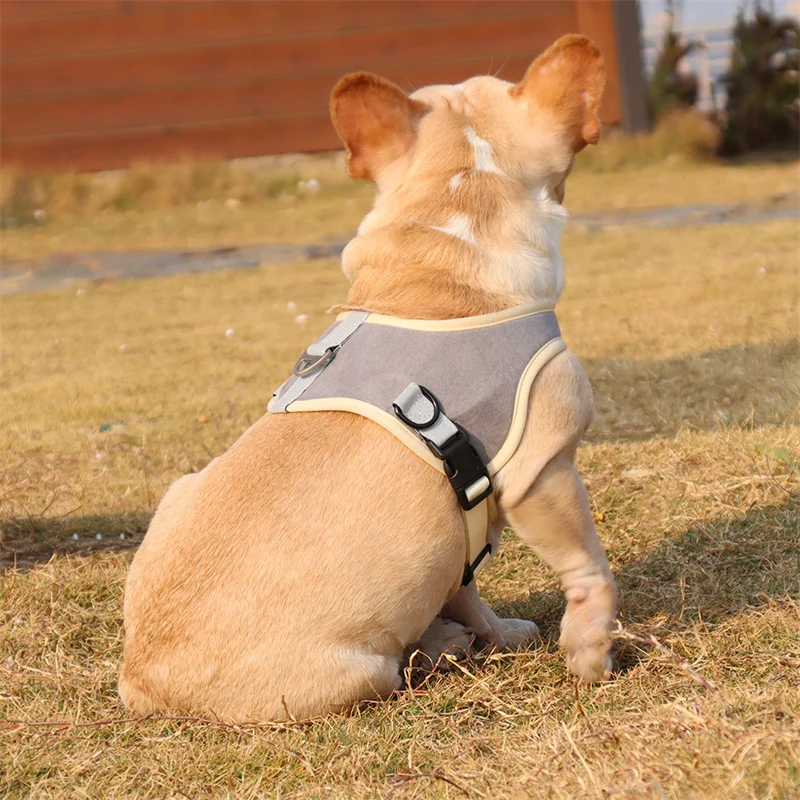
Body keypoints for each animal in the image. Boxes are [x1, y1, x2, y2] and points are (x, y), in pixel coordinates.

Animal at [120, 36, 620, 724]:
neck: (445, 242)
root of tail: (141, 679)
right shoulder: (543, 470)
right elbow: (585, 563)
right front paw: (592, 648)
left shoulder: (465, 535)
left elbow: (467, 589)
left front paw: (500, 631)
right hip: (360, 672)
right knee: (398, 667)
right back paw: (437, 646)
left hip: (176, 492)